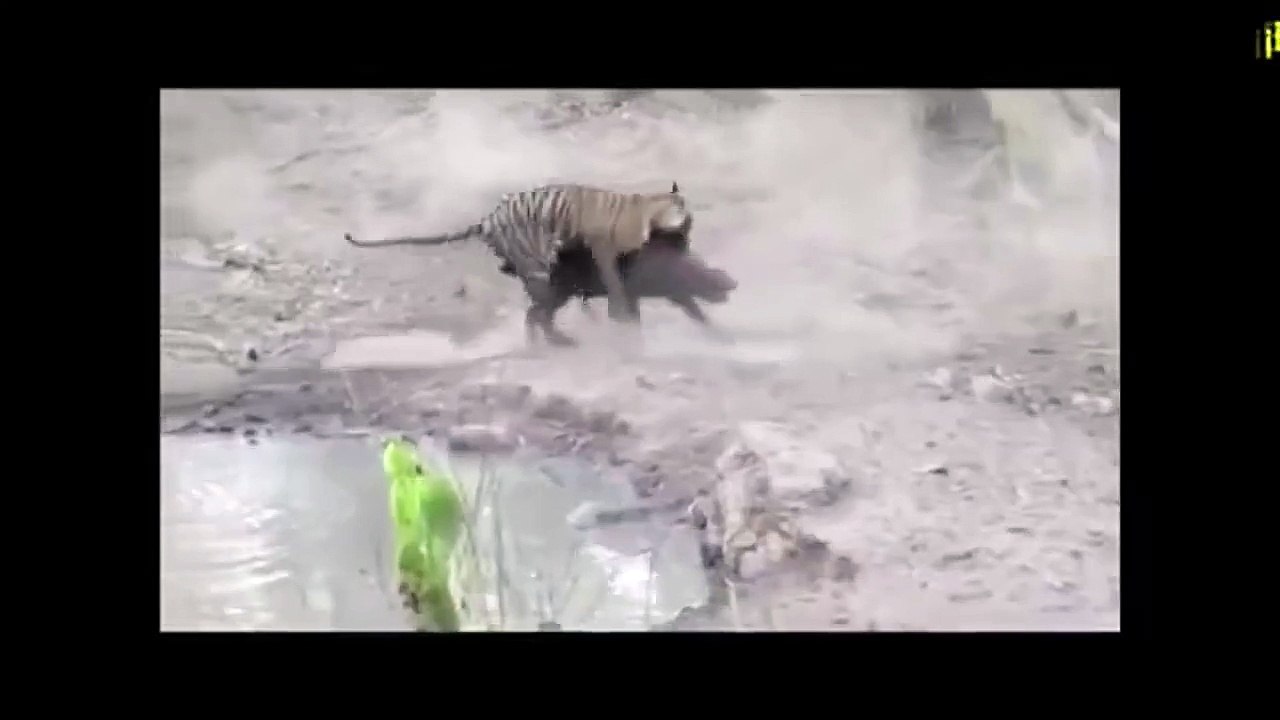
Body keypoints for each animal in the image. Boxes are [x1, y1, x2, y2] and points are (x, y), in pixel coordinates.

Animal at [344, 182, 693, 347]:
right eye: (685, 223)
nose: (688, 242)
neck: (648, 212)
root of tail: (486, 220)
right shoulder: (604, 253)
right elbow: (617, 289)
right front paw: (623, 319)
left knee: (535, 310)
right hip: (539, 267)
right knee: (538, 313)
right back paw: (558, 342)